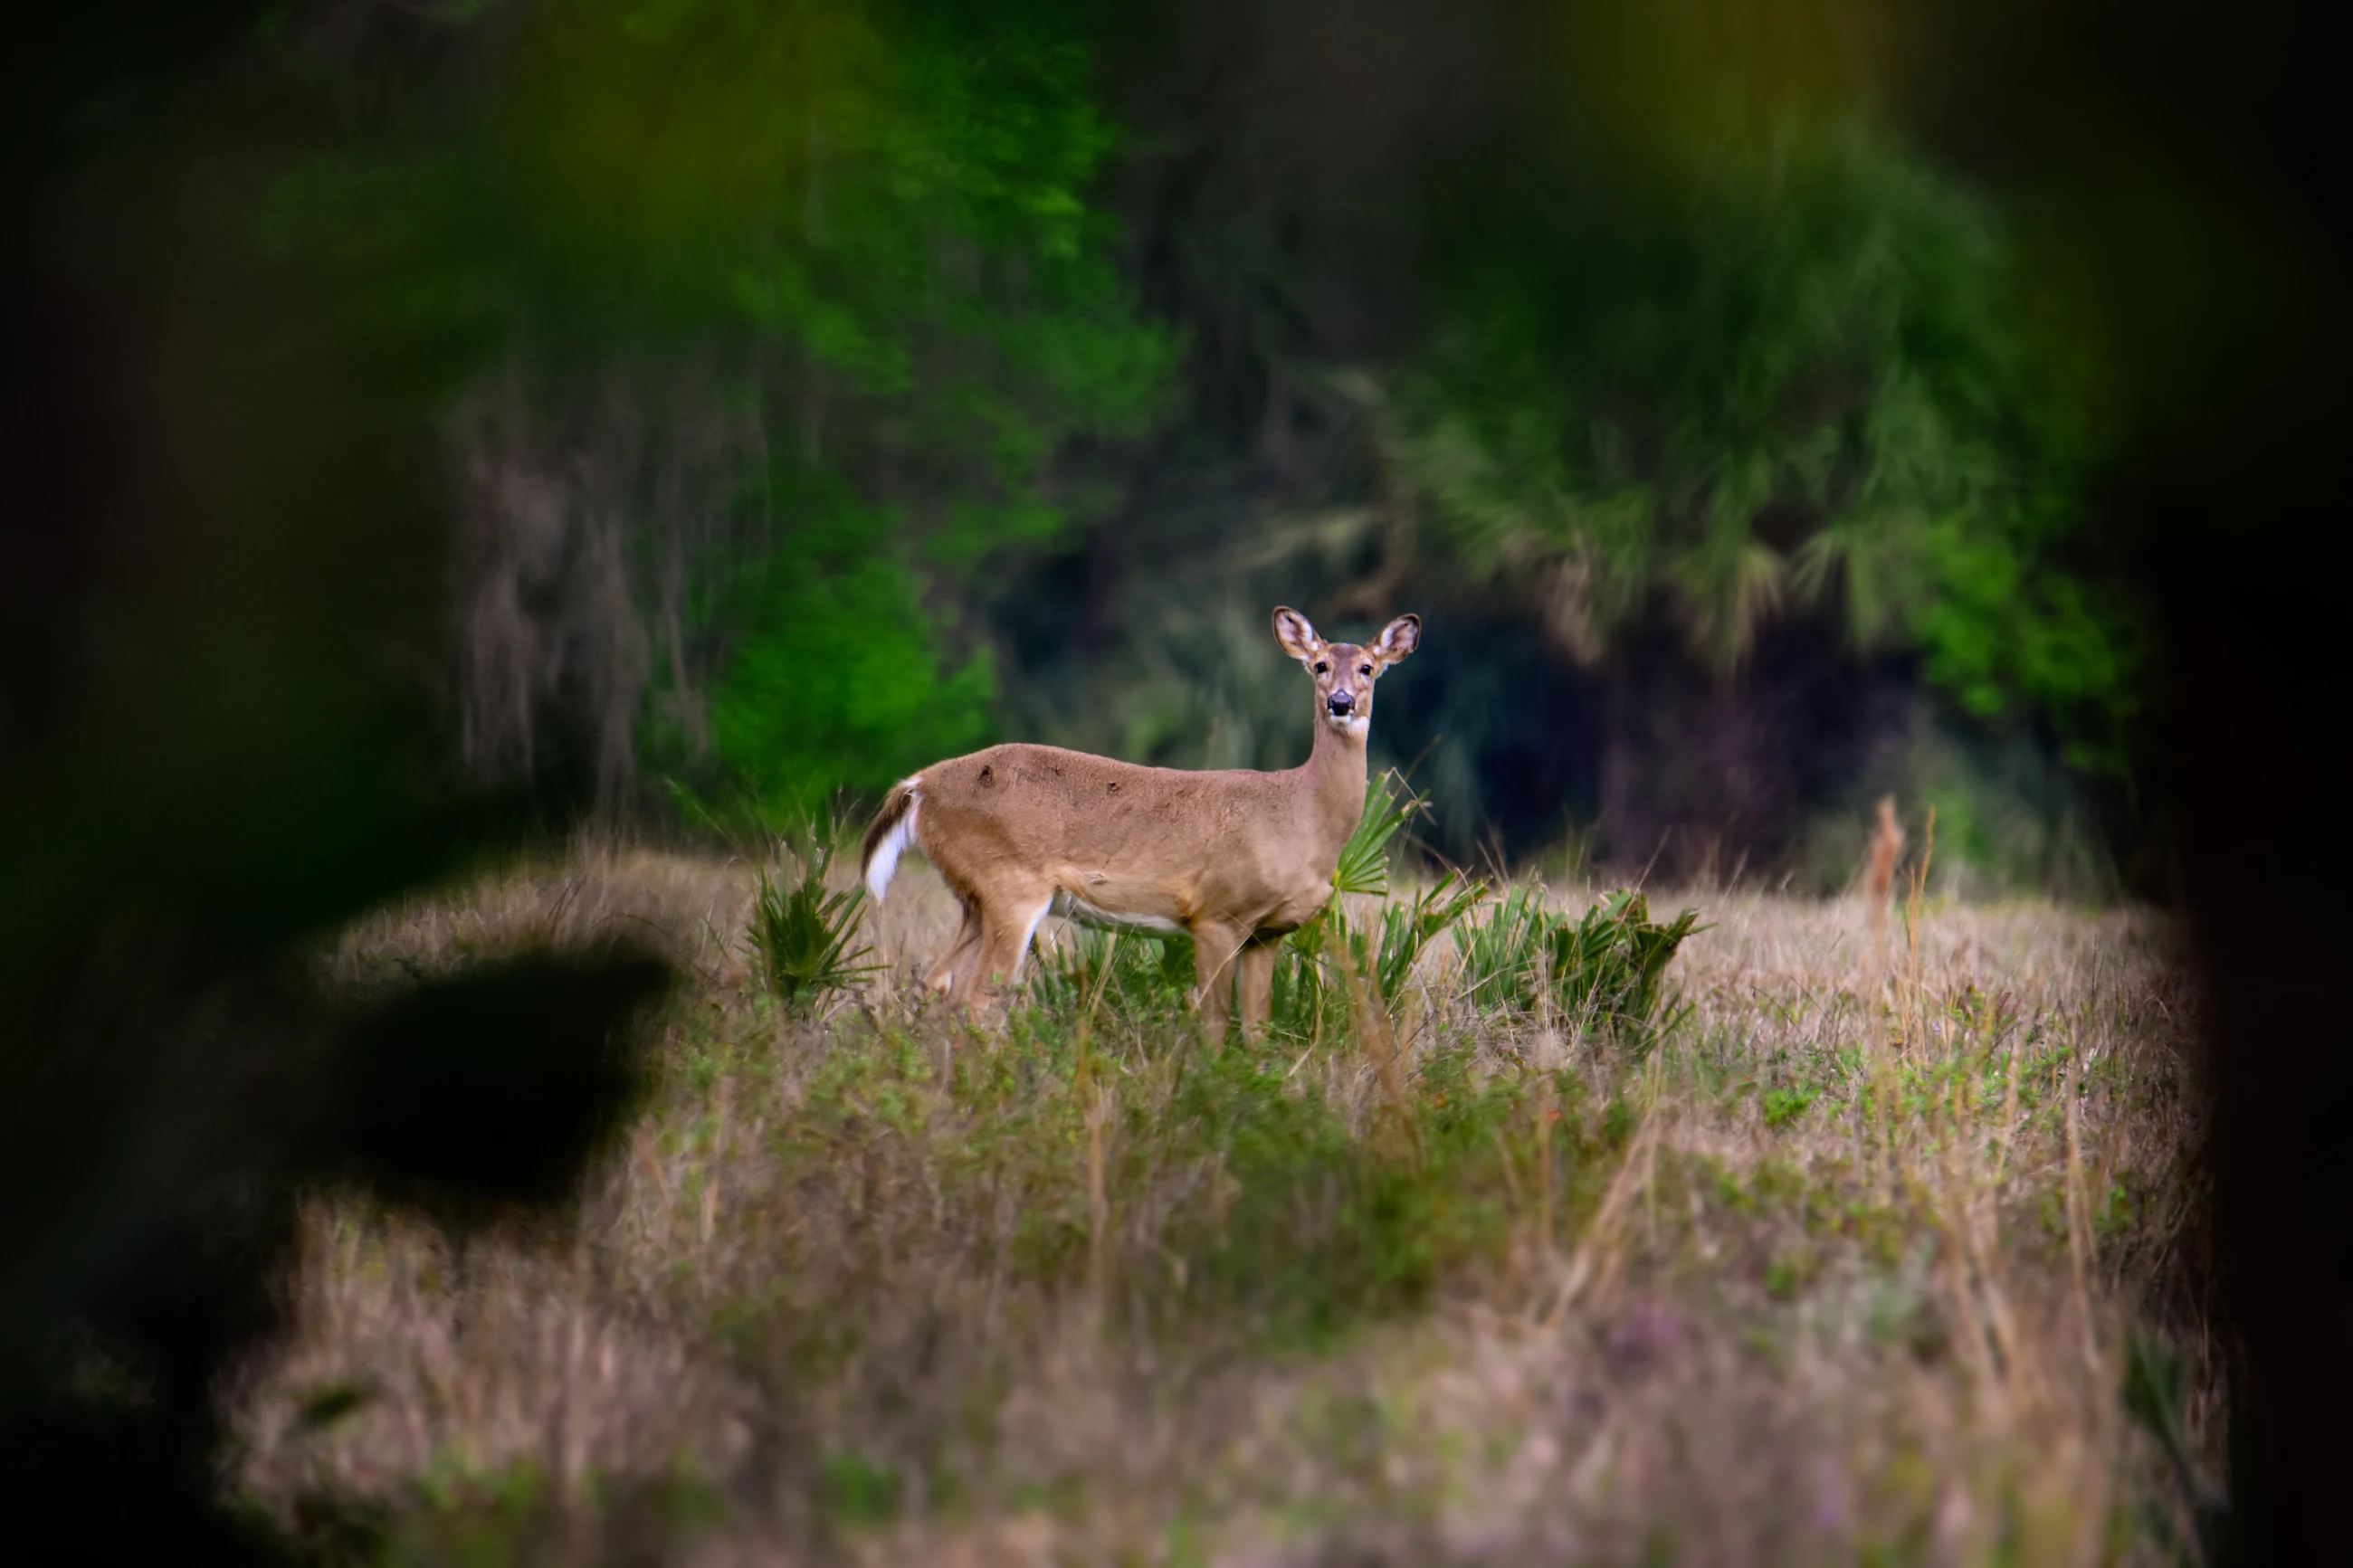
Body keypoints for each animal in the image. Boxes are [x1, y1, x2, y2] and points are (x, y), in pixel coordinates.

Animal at [859, 606, 1421, 1039]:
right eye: (1319, 665)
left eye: (1368, 667)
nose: (1340, 703)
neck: (1299, 817)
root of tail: (918, 787)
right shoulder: (1216, 914)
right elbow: (1214, 1023)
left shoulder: (1268, 933)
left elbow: (1257, 1028)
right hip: (1009, 886)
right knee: (977, 998)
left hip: (974, 898)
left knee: (938, 984)